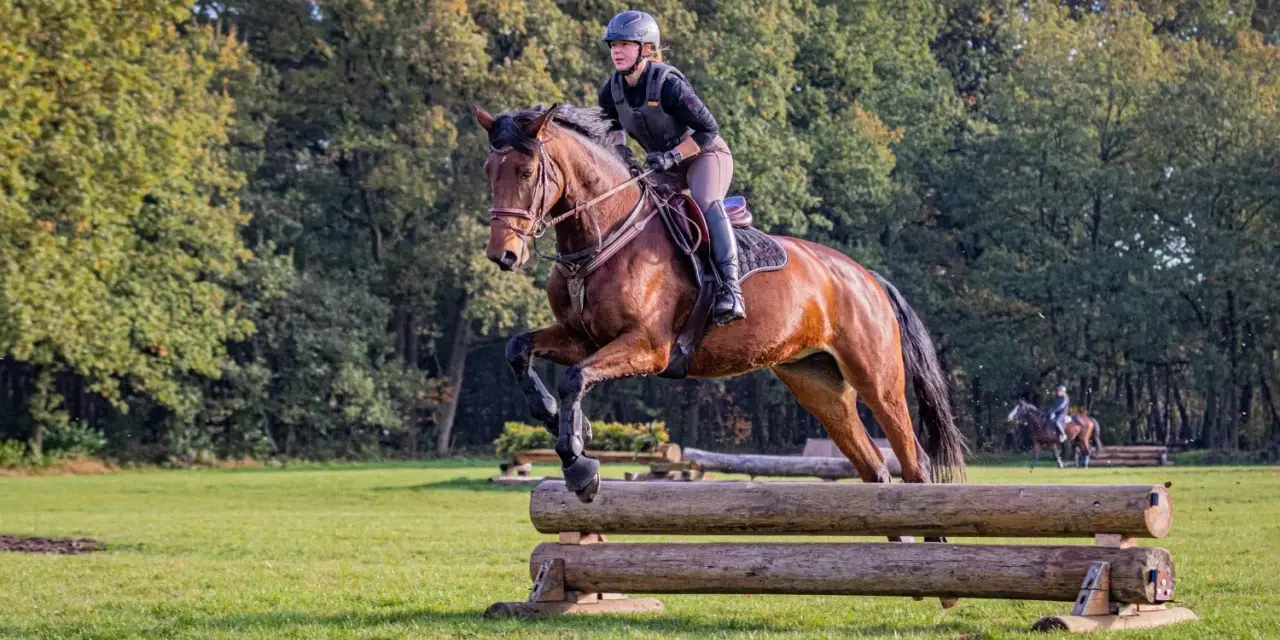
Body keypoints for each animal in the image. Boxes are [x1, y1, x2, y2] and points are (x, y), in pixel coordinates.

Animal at [473, 103, 966, 505]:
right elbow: (519, 349)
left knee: (914, 461)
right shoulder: (582, 338)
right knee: (874, 469)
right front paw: (561, 422)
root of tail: (867, 278)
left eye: (526, 172)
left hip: (877, 379)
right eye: (488, 171)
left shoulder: (649, 347)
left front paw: (580, 466)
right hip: (818, 385)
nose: (503, 255)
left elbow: (575, 378)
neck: (604, 236)